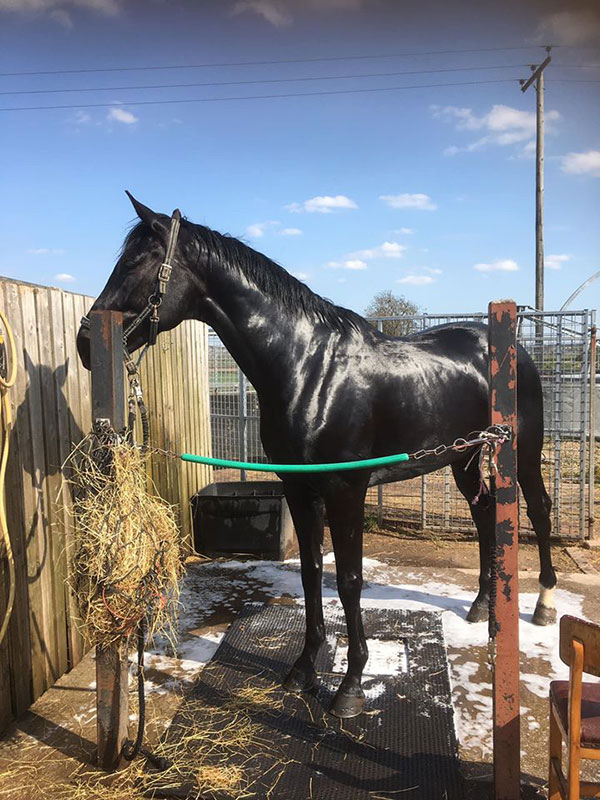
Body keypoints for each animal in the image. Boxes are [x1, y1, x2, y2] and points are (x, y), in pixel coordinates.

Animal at [76, 194, 556, 720]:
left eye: (135, 261)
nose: (84, 342)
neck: (308, 367)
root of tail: (514, 349)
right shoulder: (298, 487)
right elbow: (310, 575)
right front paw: (304, 669)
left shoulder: (346, 490)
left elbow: (348, 579)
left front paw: (350, 686)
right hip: (463, 458)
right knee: (485, 513)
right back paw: (482, 605)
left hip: (521, 452)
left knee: (538, 509)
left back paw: (544, 604)